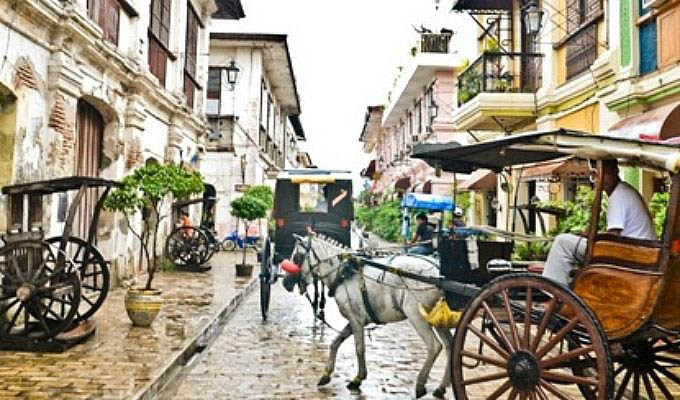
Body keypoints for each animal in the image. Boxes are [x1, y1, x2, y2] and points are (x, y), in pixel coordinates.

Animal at [286, 234, 452, 396]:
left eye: (297, 257)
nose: (285, 283)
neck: (342, 272)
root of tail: (439, 272)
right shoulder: (356, 319)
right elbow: (335, 343)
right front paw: (326, 374)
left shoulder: (356, 320)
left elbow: (359, 348)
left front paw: (358, 378)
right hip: (438, 317)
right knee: (449, 347)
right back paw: (441, 387)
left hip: (416, 314)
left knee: (434, 346)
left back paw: (421, 384)